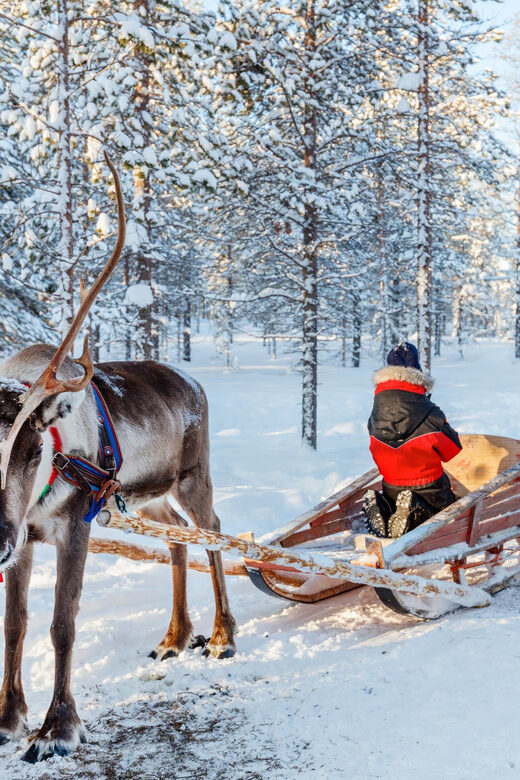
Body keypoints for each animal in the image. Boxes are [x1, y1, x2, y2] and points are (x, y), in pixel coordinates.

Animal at [0, 154, 236, 763]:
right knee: (176, 539)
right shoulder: (23, 537)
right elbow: (15, 625)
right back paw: (175, 637)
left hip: (193, 476)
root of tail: (194, 382)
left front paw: (57, 728)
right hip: (145, 497)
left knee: (214, 531)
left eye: (32, 445)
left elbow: (62, 623)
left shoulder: (75, 523)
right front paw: (9, 718)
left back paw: (222, 636)